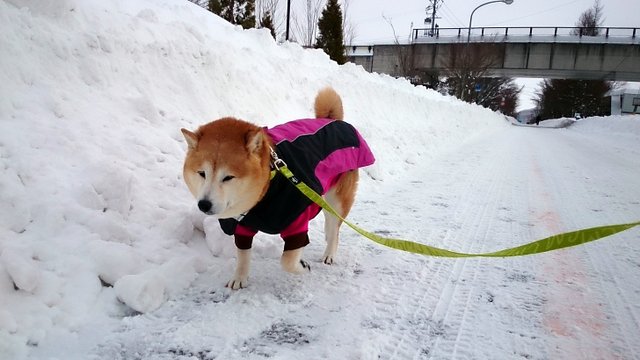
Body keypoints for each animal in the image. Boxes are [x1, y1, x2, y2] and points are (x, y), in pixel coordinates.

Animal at [181, 88, 376, 290]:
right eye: (202, 173)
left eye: (228, 177)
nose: (204, 204)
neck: (267, 187)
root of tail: (332, 120)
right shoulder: (243, 226)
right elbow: (243, 255)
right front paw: (240, 277)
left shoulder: (297, 220)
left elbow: (288, 261)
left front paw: (302, 266)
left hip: (337, 200)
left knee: (334, 229)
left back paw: (329, 253)